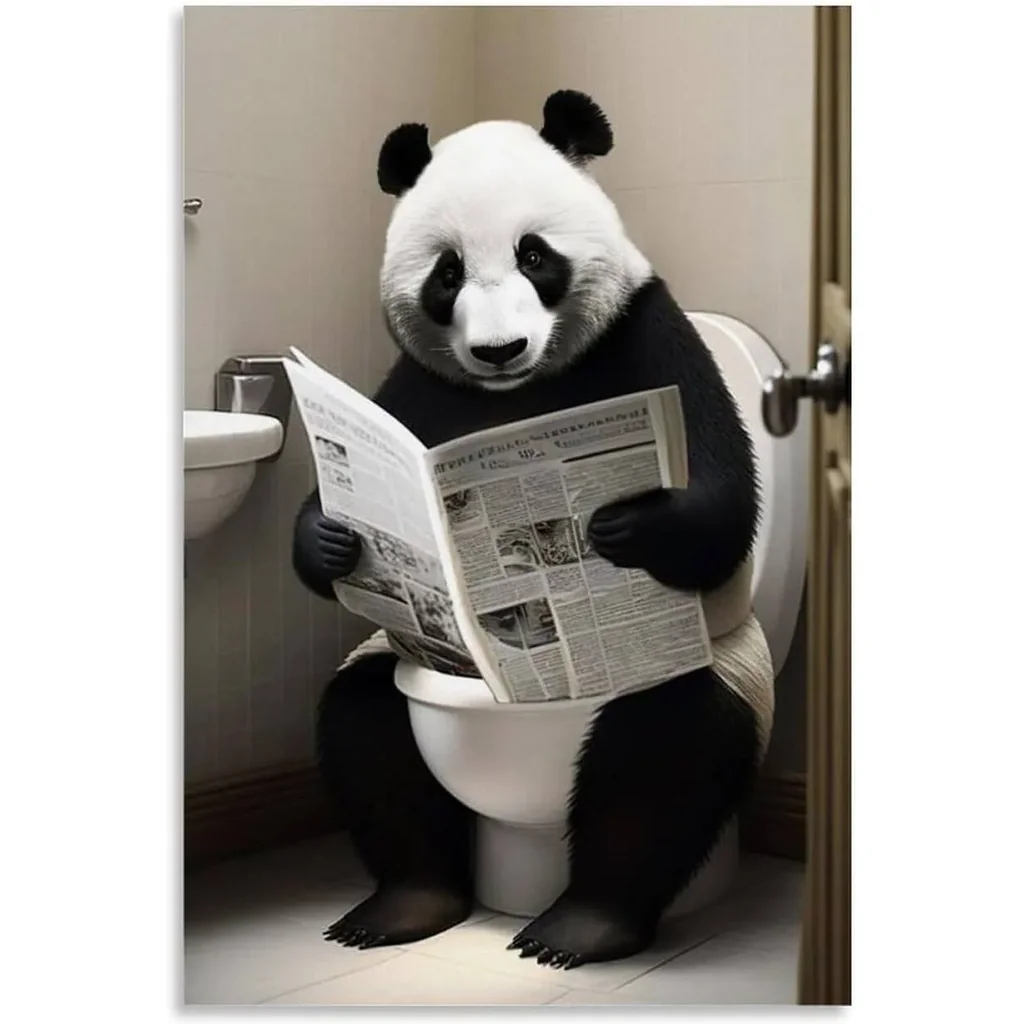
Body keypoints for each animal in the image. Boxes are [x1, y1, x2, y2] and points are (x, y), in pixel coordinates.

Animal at [292, 90, 762, 969]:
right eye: (446, 274)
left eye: (535, 256)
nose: (498, 349)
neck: (524, 391)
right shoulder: (420, 383)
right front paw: (334, 538)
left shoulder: (649, 332)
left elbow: (725, 506)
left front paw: (619, 524)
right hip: (411, 661)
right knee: (363, 716)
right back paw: (406, 904)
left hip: (706, 660)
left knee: (666, 744)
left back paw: (584, 924)